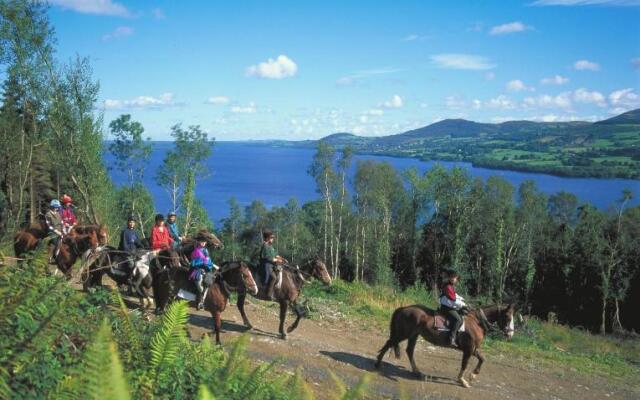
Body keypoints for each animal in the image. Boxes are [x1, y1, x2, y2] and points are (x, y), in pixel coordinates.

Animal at [376, 304, 516, 388]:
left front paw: (473, 375)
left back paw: (417, 372)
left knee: (409, 350)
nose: (510, 334)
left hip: (413, 335)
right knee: (389, 343)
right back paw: (378, 363)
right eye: (508, 317)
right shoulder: (468, 349)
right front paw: (462, 380)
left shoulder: (473, 349)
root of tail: (403, 308)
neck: (476, 322)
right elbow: (464, 364)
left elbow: (482, 359)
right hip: (403, 334)